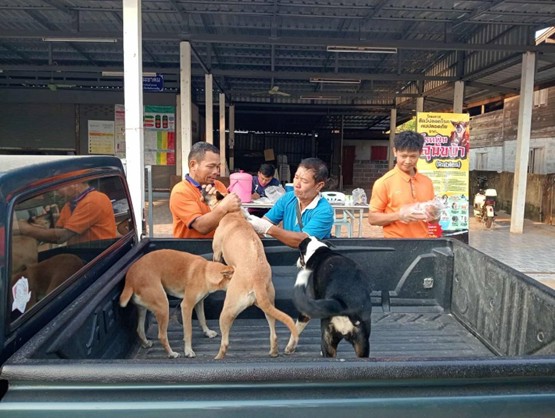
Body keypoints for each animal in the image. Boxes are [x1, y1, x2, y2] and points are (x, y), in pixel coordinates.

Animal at [203, 189, 299, 359]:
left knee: (225, 342)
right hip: (269, 306)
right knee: (273, 334)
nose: (201, 189)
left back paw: (218, 357)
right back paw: (274, 352)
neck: (234, 214)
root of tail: (257, 281)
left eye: (211, 192)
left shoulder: (217, 252)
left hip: (227, 311)